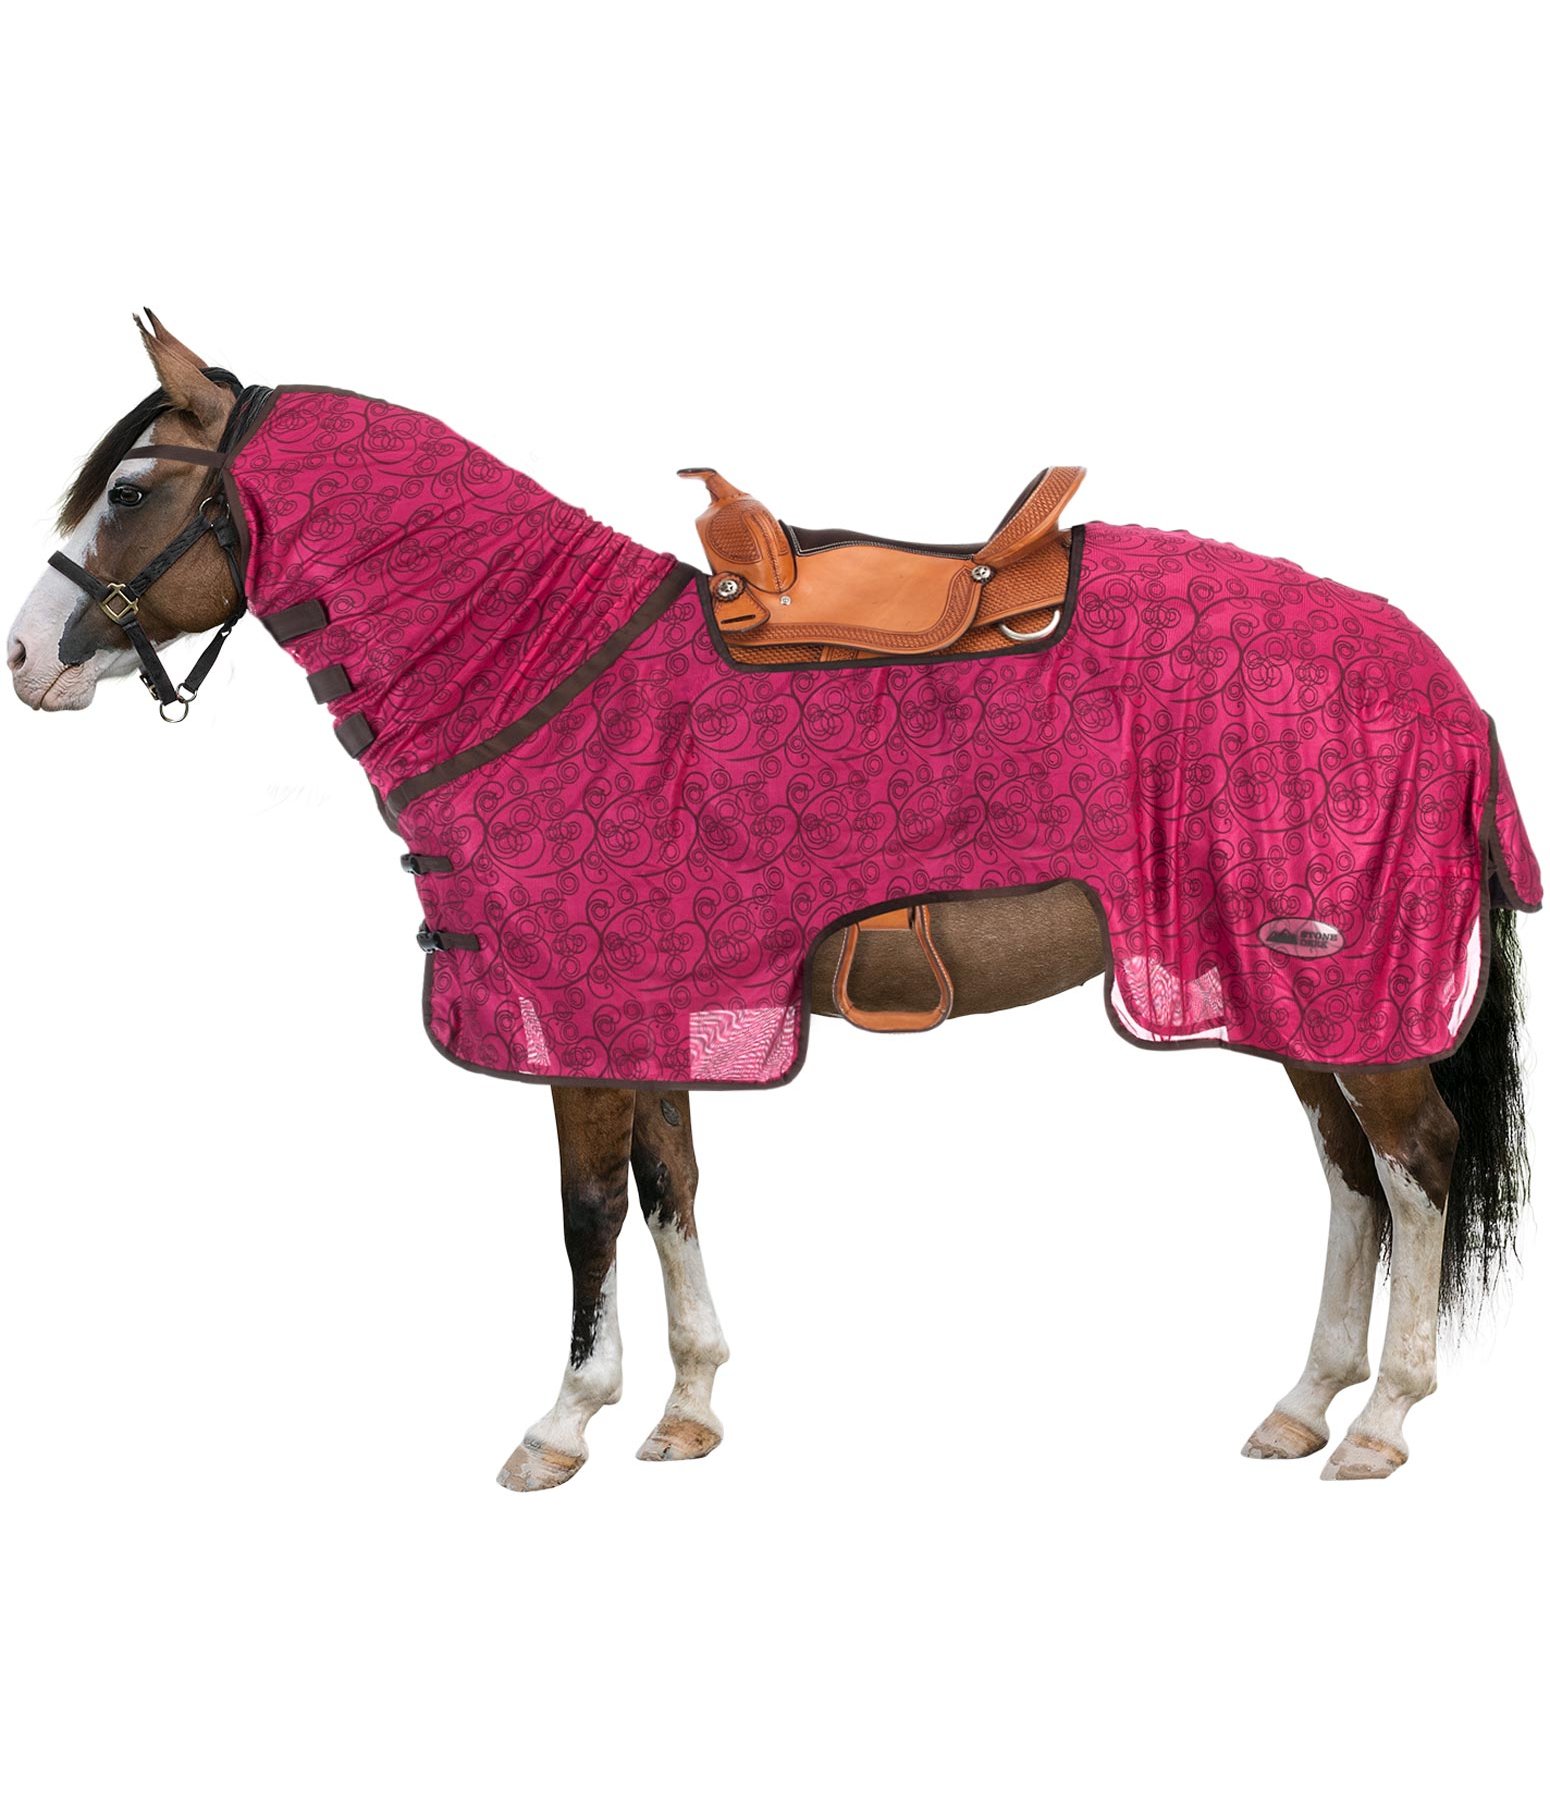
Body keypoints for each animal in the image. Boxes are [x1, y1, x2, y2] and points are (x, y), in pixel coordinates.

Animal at [8, 314, 1537, 1488]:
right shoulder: (661, 1013)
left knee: (1415, 1165)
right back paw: (1304, 1404)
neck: (540, 668)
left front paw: (563, 1424)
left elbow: (586, 1215)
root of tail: (1439, 679)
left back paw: (1381, 1422)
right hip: (1275, 990)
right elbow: (670, 1188)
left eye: (129, 491)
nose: (27, 658)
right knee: (1349, 1176)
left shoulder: (579, 1021)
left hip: (1338, 982)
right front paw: (687, 1408)